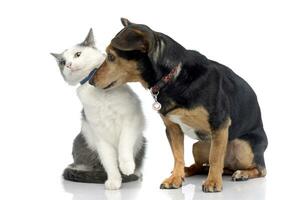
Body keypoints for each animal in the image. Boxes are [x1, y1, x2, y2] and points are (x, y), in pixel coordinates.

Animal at [50, 28, 146, 189]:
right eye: (62, 62)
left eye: (78, 54)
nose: (68, 64)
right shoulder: (99, 133)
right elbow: (108, 160)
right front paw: (114, 181)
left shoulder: (131, 118)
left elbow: (124, 144)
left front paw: (126, 166)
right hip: (82, 140)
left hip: (141, 142)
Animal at [89, 18, 268, 192]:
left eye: (111, 56)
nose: (90, 81)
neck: (173, 77)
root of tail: (230, 167)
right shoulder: (173, 128)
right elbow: (178, 155)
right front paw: (175, 178)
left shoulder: (220, 123)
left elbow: (216, 157)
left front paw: (212, 182)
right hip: (199, 145)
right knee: (201, 165)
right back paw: (188, 171)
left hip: (243, 146)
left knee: (259, 169)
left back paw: (242, 173)